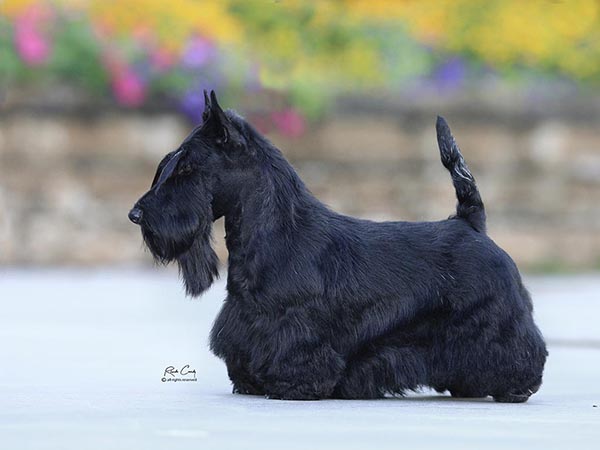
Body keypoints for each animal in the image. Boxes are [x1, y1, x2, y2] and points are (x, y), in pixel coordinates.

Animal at [129, 90, 548, 400]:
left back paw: (515, 387)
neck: (280, 234)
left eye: (187, 167)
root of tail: (470, 223)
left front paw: (291, 386)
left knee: (521, 351)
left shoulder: (295, 326)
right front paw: (250, 382)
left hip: (495, 321)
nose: (136, 214)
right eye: (170, 163)